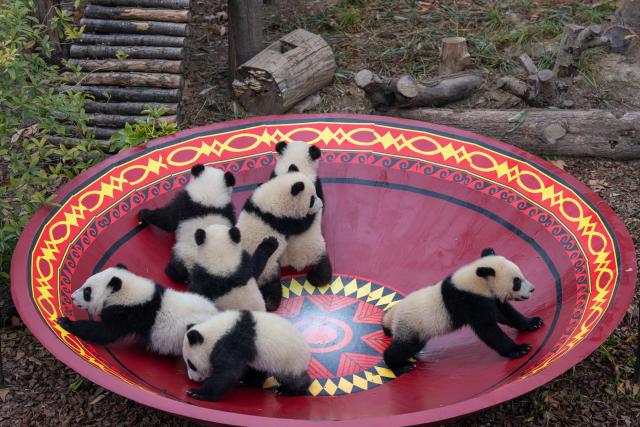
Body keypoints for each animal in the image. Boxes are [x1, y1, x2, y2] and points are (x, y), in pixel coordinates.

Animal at [182, 310, 311, 401]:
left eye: (191, 364)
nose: (192, 379)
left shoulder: (233, 342)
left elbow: (228, 373)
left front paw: (197, 393)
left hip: (288, 359)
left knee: (291, 378)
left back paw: (289, 391)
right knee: (257, 370)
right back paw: (247, 382)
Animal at [236, 172, 326, 311]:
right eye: (311, 200)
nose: (319, 203)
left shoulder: (252, 201)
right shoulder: (282, 221)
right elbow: (302, 225)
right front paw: (312, 214)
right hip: (268, 268)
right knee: (273, 287)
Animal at [382, 248, 543, 371]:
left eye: (521, 276)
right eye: (517, 282)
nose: (532, 289)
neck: (477, 280)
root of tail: (393, 315)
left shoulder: (487, 297)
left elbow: (505, 313)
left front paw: (533, 323)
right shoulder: (468, 300)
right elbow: (487, 328)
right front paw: (519, 349)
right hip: (412, 325)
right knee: (405, 347)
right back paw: (399, 366)